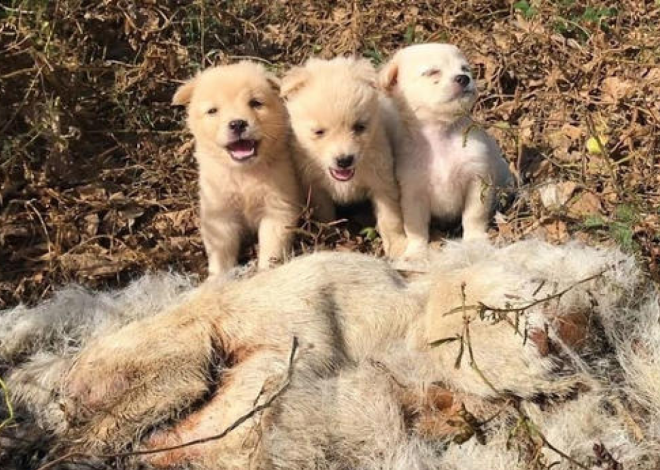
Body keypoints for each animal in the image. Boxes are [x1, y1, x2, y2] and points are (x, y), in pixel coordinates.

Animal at [173, 62, 302, 276]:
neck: (244, 173)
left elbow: (272, 249)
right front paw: (218, 278)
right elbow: (222, 252)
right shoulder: (219, 214)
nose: (238, 124)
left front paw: (266, 273)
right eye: (213, 110)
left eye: (255, 103)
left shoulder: (277, 209)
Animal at [282, 57, 408, 258]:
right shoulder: (315, 187)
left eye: (359, 127)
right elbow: (324, 213)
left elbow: (390, 218)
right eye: (319, 132)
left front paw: (398, 245)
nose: (344, 160)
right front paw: (328, 235)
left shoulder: (382, 182)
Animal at [378, 42, 512, 258]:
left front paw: (474, 241)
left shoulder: (477, 182)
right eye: (433, 72)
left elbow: (474, 216)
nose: (464, 78)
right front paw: (416, 252)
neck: (440, 135)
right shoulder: (413, 194)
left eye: (465, 69)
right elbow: (416, 227)